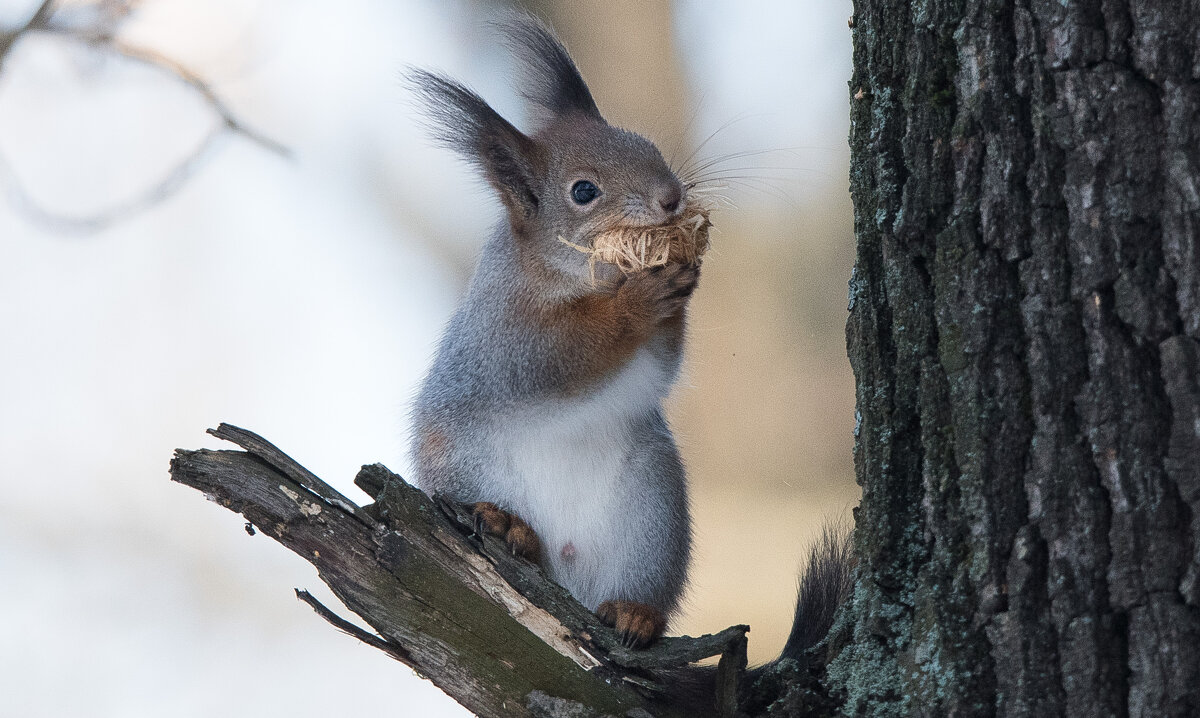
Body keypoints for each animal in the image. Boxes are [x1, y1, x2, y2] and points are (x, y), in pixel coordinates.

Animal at [408, 12, 849, 662]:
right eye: (583, 191)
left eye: (649, 147)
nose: (671, 197)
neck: (584, 276)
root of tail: (570, 579)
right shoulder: (505, 335)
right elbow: (563, 354)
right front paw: (637, 301)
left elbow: (657, 364)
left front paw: (686, 271)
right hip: (465, 467)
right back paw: (509, 527)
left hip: (651, 514)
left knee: (636, 597)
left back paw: (634, 614)